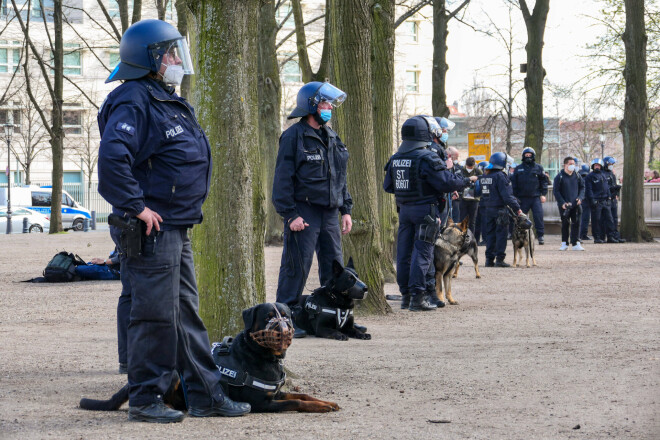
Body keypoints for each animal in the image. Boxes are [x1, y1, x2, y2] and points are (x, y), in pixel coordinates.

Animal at [78, 302, 340, 412]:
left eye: (285, 316)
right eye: (268, 317)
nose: (283, 327)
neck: (264, 355)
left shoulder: (274, 393)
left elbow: (302, 395)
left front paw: (326, 402)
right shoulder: (261, 403)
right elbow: (296, 402)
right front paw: (319, 408)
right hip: (175, 372)